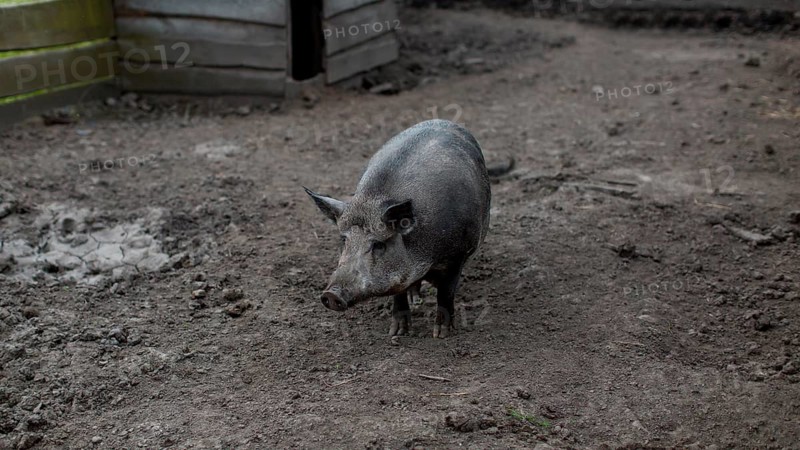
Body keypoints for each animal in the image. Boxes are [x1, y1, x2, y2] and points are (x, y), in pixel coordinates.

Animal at [304, 119, 494, 338]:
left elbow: (445, 293)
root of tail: (445, 121)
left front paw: (440, 335)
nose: (331, 294)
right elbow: (399, 291)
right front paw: (397, 333)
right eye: (344, 240)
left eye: (378, 244)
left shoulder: (458, 254)